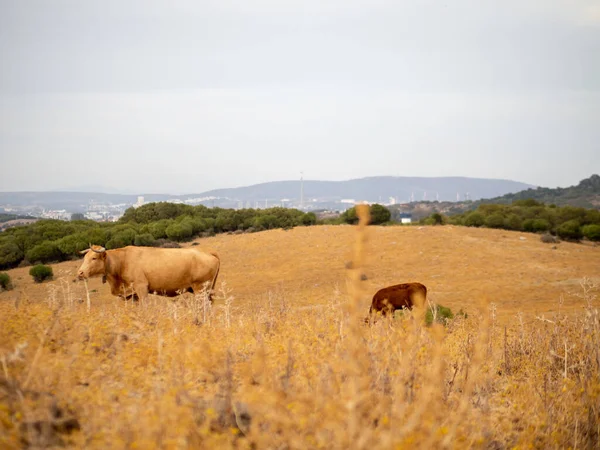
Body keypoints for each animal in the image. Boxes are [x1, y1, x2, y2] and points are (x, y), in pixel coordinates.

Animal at [77, 243, 220, 302]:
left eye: (94, 258)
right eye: (84, 257)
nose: (80, 273)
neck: (122, 261)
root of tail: (207, 252)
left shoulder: (142, 288)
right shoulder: (131, 295)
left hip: (200, 289)